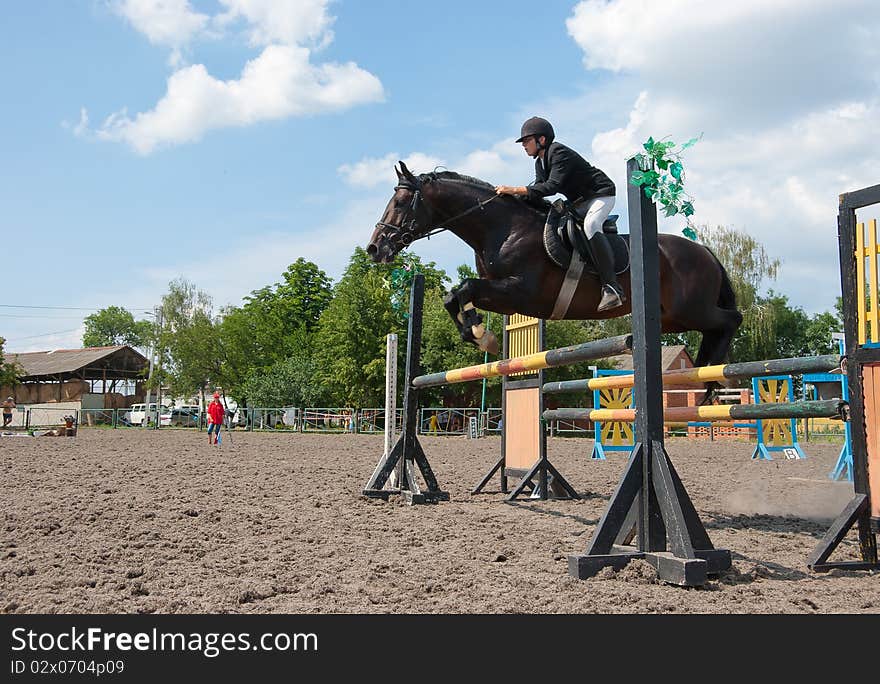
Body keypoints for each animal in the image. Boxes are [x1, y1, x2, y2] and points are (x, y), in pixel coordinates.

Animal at [366, 160, 744, 372]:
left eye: (400, 202)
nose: (375, 248)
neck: (502, 228)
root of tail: (706, 251)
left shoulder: (521, 293)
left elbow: (466, 288)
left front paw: (481, 335)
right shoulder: (504, 298)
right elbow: (454, 295)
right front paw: (478, 333)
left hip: (691, 308)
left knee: (731, 320)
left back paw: (710, 380)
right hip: (675, 317)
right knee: (713, 329)